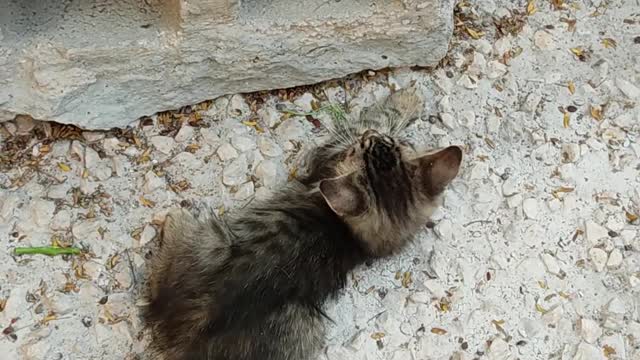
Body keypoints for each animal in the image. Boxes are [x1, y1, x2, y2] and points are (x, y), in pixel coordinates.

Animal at [144, 86, 462, 358]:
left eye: (366, 146)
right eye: (391, 144)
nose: (372, 137)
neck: (350, 235)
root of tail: (183, 335)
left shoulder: (331, 151)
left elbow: (378, 116)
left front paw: (405, 100)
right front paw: (408, 100)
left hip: (215, 242)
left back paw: (176, 217)